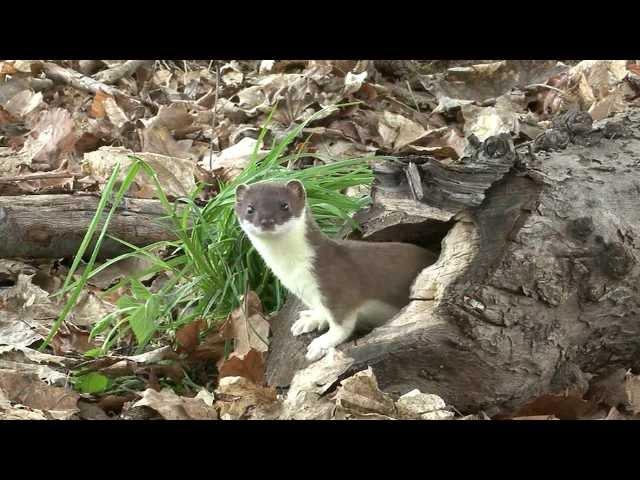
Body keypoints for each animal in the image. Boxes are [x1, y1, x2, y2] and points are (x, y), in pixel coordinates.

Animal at [236, 179, 440, 360]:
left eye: (284, 205)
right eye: (250, 208)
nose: (266, 221)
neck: (293, 271)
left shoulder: (337, 286)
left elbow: (342, 325)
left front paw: (320, 344)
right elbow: (321, 310)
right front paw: (309, 320)